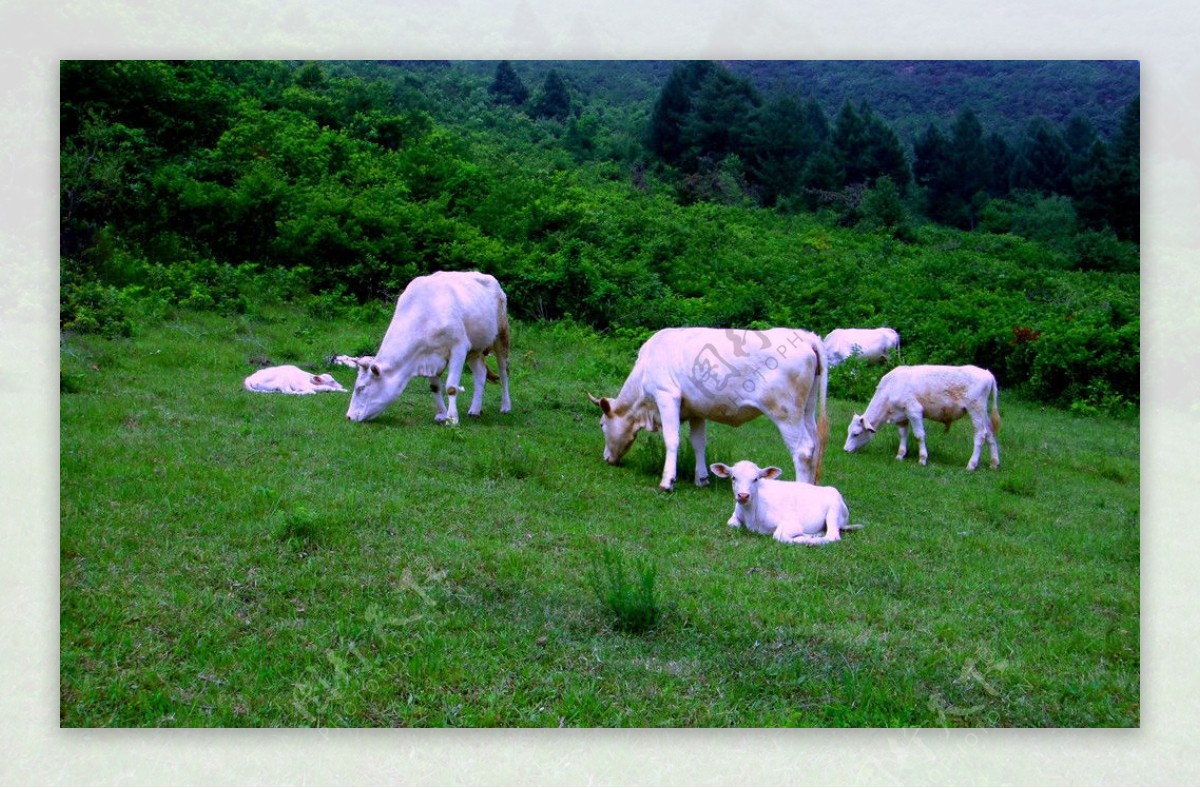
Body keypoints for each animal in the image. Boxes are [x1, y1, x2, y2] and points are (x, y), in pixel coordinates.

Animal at [338, 268, 511, 422]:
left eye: (361, 388)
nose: (349, 416)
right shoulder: (430, 355)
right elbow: (434, 387)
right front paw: (441, 415)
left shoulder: (459, 347)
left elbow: (451, 387)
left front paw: (451, 419)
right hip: (475, 347)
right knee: (480, 373)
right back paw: (475, 410)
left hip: (501, 335)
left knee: (503, 371)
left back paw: (505, 406)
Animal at [588, 326, 830, 489]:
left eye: (601, 424)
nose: (606, 457)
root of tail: (806, 336)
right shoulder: (696, 409)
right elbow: (698, 443)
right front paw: (702, 478)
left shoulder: (667, 395)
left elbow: (672, 438)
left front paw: (668, 481)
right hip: (806, 410)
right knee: (815, 444)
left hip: (785, 411)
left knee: (803, 449)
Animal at [700, 458, 864, 544]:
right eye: (733, 477)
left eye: (756, 479)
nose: (743, 495)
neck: (751, 516)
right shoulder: (735, 515)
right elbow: (732, 524)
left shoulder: (792, 523)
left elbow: (779, 535)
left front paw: (805, 537)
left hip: (833, 511)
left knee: (832, 536)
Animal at [844, 362, 1003, 467]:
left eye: (856, 434)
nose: (845, 450)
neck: (891, 388)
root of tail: (987, 373)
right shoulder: (902, 416)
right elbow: (903, 434)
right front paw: (900, 455)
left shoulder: (914, 411)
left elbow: (919, 435)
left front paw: (922, 459)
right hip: (983, 412)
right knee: (990, 433)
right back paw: (994, 463)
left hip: (975, 409)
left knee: (980, 435)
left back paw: (971, 464)